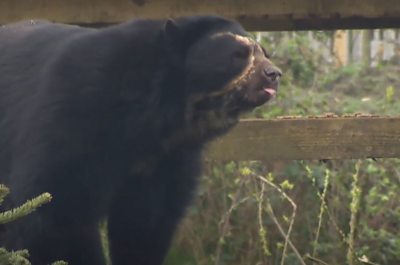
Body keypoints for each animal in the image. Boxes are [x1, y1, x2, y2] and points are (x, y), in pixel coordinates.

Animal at [0, 15, 282, 262]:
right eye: (237, 55)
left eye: (265, 53)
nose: (274, 74)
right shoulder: (73, 118)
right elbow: (53, 209)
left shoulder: (167, 160)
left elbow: (146, 223)